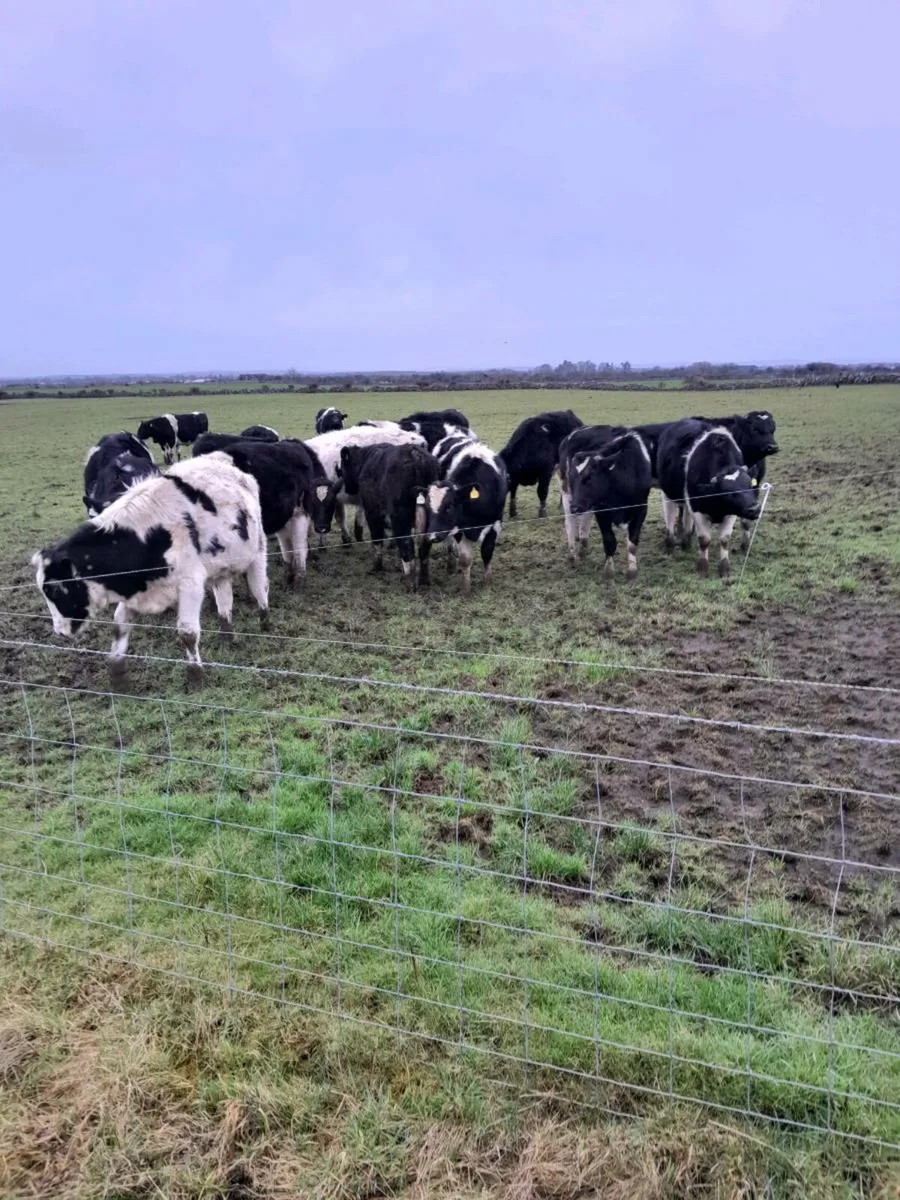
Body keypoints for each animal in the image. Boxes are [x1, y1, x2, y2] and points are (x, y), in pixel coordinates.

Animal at [32, 454, 268, 686]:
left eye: (55, 589)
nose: (60, 633)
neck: (146, 537)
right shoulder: (136, 594)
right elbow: (119, 626)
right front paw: (118, 678)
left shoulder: (191, 585)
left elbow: (188, 633)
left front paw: (195, 678)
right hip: (221, 569)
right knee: (224, 601)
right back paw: (226, 637)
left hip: (258, 553)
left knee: (260, 589)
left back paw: (265, 624)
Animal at [339, 443, 440, 589]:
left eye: (341, 469)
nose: (348, 489)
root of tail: (415, 455)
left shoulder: (372, 513)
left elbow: (377, 539)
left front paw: (377, 567)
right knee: (425, 547)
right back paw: (424, 580)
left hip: (400, 517)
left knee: (406, 544)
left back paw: (409, 583)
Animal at [422, 440, 508, 597]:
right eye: (426, 506)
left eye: (449, 506)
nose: (432, 536)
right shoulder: (458, 528)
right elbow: (465, 558)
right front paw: (466, 590)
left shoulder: (495, 524)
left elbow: (487, 552)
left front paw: (487, 585)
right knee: (450, 545)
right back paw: (450, 566)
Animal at [562, 431, 653, 579]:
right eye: (572, 479)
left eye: (589, 477)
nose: (575, 507)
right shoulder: (602, 512)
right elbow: (609, 541)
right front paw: (609, 571)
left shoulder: (641, 509)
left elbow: (632, 541)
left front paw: (632, 571)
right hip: (568, 496)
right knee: (570, 523)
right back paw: (572, 555)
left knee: (584, 520)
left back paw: (582, 548)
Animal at [657, 419, 761, 578]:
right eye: (728, 493)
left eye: (750, 484)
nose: (754, 509)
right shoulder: (696, 508)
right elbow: (704, 539)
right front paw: (702, 569)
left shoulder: (731, 512)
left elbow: (724, 540)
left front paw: (725, 569)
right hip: (668, 495)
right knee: (669, 518)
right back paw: (670, 545)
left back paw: (686, 542)